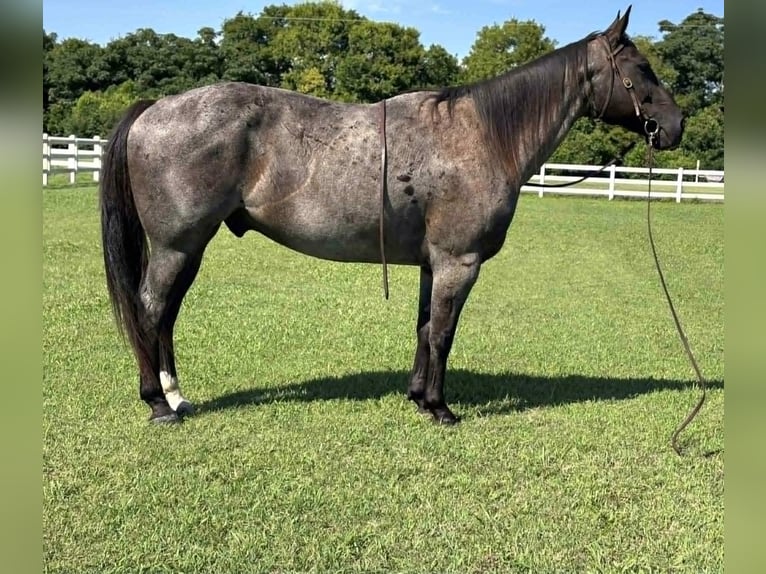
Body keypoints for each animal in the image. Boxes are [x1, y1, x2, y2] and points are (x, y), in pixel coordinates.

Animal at [100, 6, 684, 425]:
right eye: (641, 69)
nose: (676, 125)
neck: (484, 135)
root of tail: (156, 107)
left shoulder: (433, 264)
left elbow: (424, 328)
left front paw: (419, 397)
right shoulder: (458, 263)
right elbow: (443, 333)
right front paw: (441, 409)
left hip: (189, 248)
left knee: (166, 315)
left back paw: (177, 396)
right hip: (178, 246)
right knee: (151, 311)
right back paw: (158, 403)